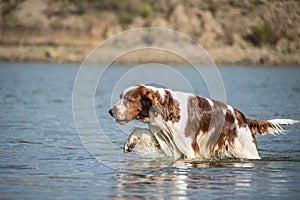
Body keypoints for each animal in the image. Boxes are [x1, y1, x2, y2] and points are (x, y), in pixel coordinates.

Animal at [109, 84, 298, 159]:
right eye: (121, 97)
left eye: (129, 100)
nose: (110, 111)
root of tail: (243, 118)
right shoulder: (164, 138)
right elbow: (138, 131)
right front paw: (129, 143)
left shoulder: (191, 150)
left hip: (247, 149)